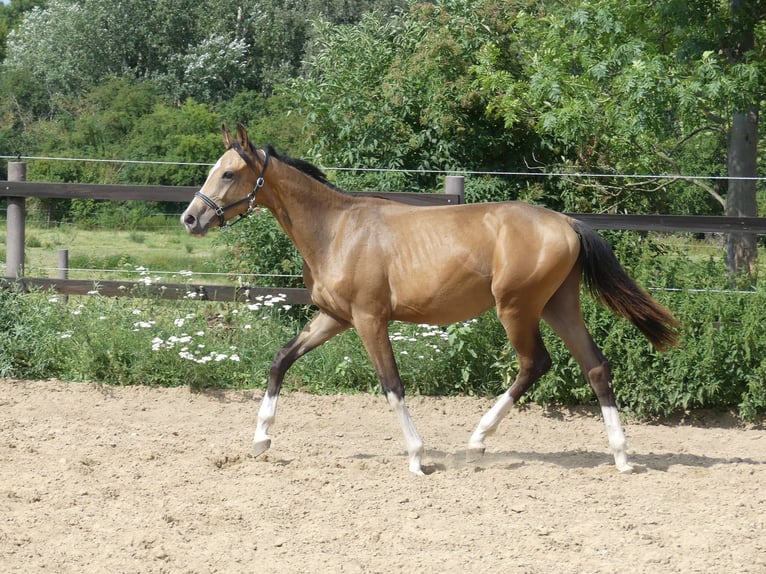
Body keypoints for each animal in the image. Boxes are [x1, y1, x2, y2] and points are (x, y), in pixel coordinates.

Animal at [183, 125, 680, 476]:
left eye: (229, 173)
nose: (191, 218)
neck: (336, 230)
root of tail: (566, 222)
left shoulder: (369, 319)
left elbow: (392, 385)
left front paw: (417, 458)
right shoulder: (334, 317)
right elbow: (281, 360)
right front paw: (261, 440)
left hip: (517, 308)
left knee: (535, 364)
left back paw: (478, 440)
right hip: (559, 306)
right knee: (595, 366)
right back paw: (621, 457)